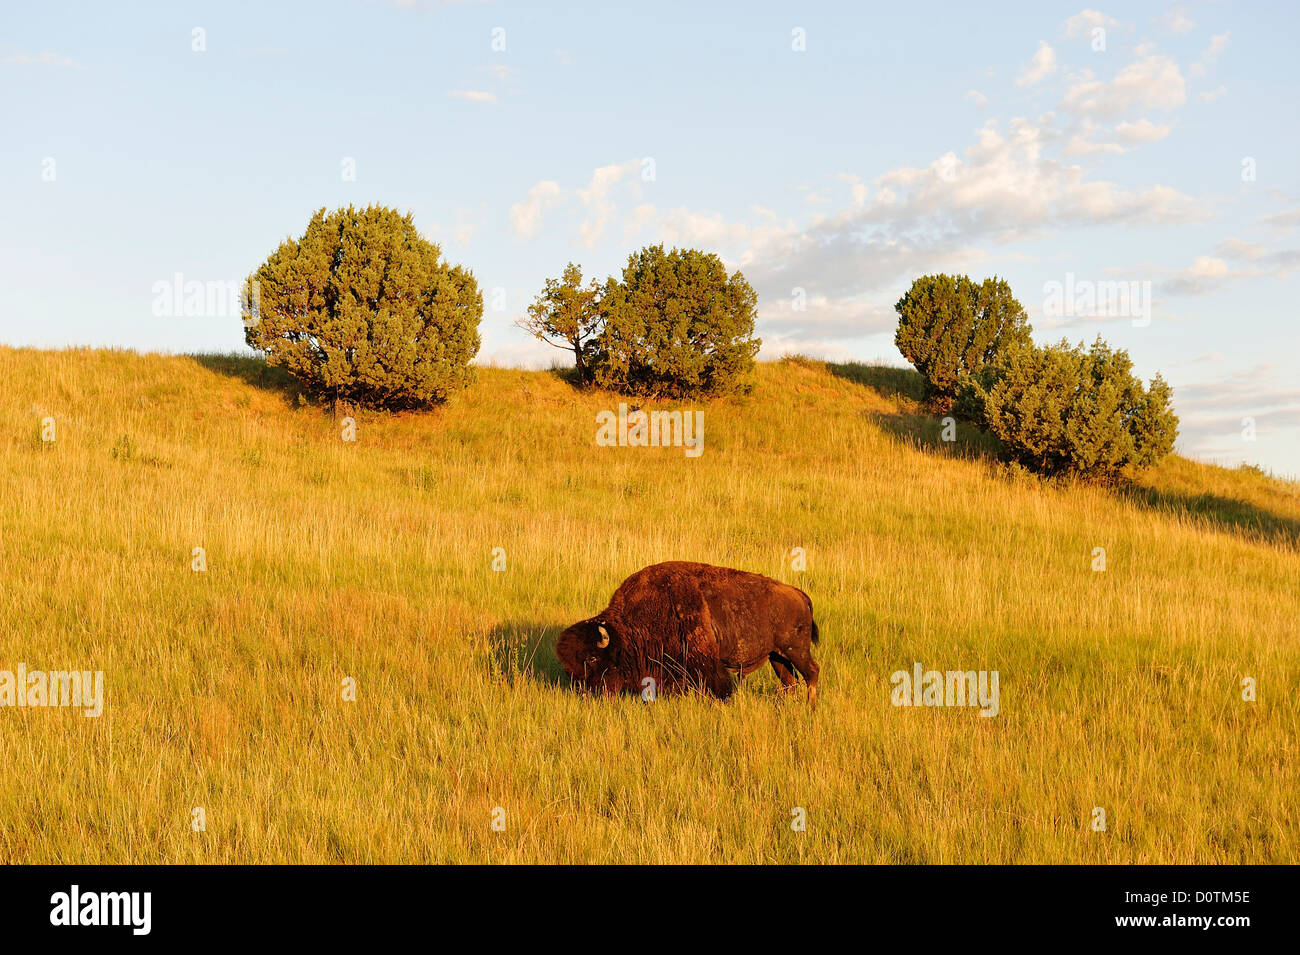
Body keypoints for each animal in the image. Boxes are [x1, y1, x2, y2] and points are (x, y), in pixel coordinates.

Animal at [555, 561, 821, 706]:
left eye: (592, 658)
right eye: (569, 668)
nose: (585, 694)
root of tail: (799, 594)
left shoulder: (705, 663)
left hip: (795, 651)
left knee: (811, 672)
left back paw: (811, 707)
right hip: (777, 657)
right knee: (790, 682)